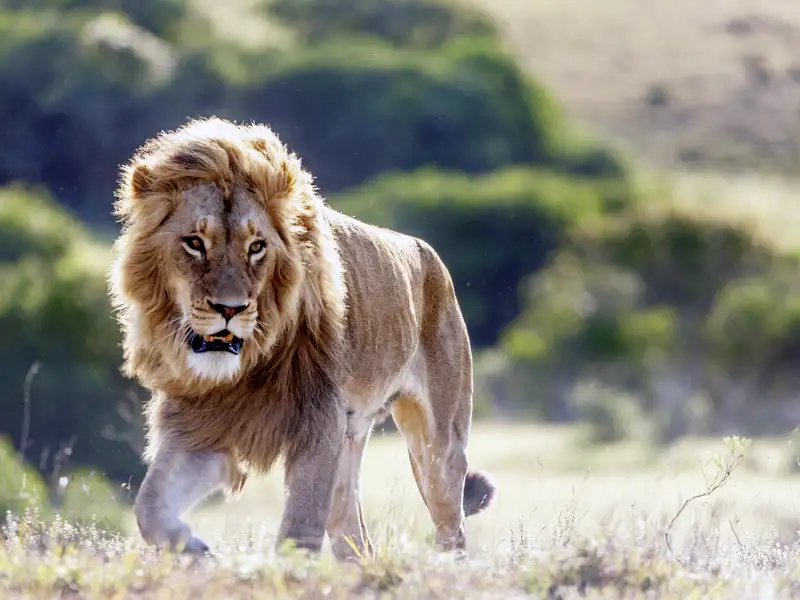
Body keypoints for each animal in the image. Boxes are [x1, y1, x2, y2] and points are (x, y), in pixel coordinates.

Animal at [108, 116, 496, 560]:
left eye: (256, 247)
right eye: (194, 243)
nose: (230, 309)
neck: (247, 365)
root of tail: (428, 253)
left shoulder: (320, 419)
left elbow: (300, 527)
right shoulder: (203, 424)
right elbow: (148, 506)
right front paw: (196, 550)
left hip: (438, 446)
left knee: (452, 525)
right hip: (351, 442)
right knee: (354, 535)